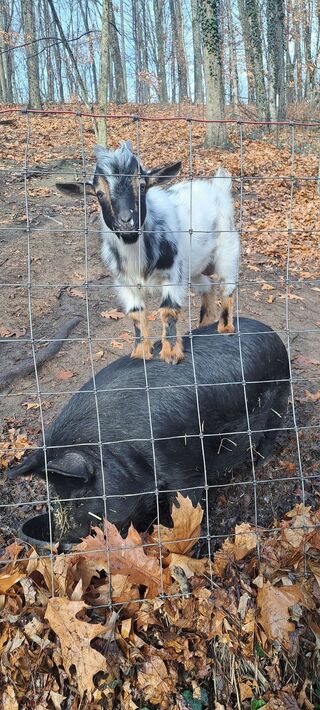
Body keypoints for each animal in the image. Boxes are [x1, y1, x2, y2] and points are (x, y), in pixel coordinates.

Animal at [8, 320, 290, 544]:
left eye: (79, 497)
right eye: (55, 496)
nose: (66, 539)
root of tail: (273, 334)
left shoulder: (184, 464)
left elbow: (185, 501)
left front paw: (175, 533)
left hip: (279, 397)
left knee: (270, 434)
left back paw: (259, 465)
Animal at [56, 145, 239, 368]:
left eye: (142, 186)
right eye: (99, 193)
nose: (126, 222)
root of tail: (218, 188)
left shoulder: (172, 275)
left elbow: (168, 310)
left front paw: (171, 354)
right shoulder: (125, 283)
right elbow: (136, 314)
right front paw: (140, 353)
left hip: (226, 250)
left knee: (227, 286)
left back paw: (225, 328)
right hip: (194, 269)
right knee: (208, 286)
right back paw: (203, 325)